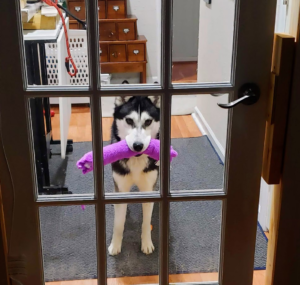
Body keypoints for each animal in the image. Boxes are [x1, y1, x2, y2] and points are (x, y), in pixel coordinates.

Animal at [107, 95, 159, 255]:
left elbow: (146, 223)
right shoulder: (121, 186)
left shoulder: (148, 187)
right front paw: (115, 245)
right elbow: (118, 223)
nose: (138, 146)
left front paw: (146, 243)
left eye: (148, 121)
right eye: (129, 120)